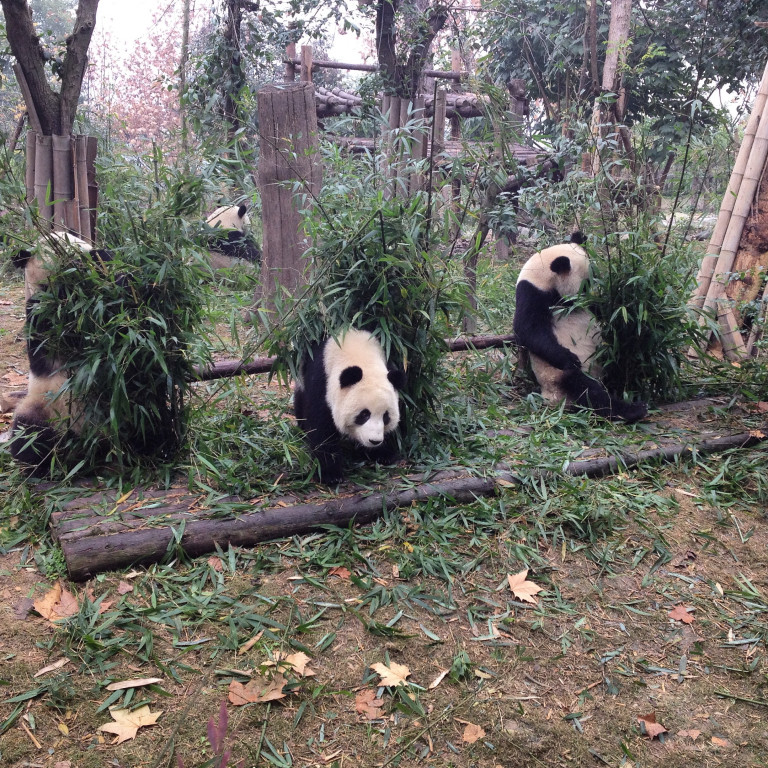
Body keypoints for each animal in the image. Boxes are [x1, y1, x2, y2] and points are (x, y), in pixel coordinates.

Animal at [294, 328, 408, 484]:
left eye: (386, 416)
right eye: (364, 414)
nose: (374, 441)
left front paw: (384, 454)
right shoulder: (322, 381)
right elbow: (321, 428)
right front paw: (331, 474)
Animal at [516, 234, 648, 426]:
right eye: (585, 285)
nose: (590, 297)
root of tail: (553, 400)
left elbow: (605, 312)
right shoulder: (532, 294)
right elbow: (528, 330)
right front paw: (570, 358)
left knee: (617, 362)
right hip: (556, 376)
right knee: (588, 390)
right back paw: (633, 410)